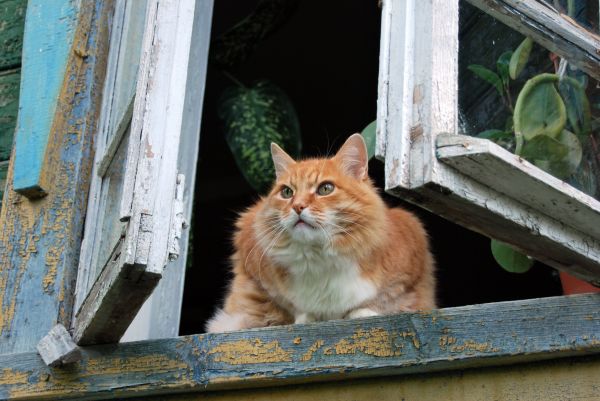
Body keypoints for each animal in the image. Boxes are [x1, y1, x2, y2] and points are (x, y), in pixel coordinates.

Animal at [206, 133, 436, 330]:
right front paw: (306, 317)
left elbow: (387, 300)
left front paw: (363, 312)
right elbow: (286, 306)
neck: (319, 255)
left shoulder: (412, 264)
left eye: (325, 189)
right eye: (287, 192)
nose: (297, 206)